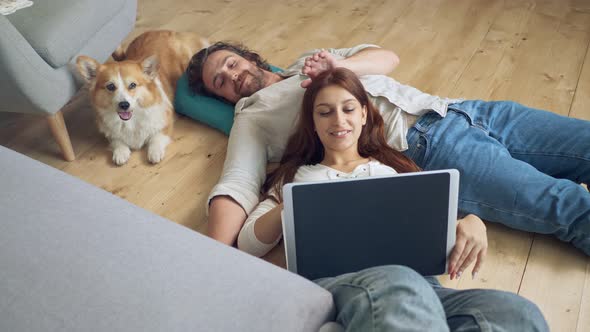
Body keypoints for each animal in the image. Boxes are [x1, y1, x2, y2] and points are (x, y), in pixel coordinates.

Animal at [77, 30, 208, 165]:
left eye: (133, 85)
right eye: (111, 86)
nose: (124, 105)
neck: (132, 119)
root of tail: (163, 31)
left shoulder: (165, 123)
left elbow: (156, 137)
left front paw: (154, 152)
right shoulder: (111, 134)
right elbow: (117, 141)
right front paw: (120, 153)